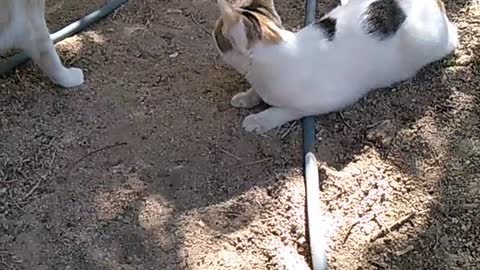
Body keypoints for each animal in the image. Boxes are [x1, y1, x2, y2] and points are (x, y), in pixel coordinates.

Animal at [213, 0, 458, 134]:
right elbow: (256, 93)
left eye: (217, 35)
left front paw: (258, 120)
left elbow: (283, 110)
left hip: (428, 42)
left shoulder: (326, 101)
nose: (212, 36)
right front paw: (246, 97)